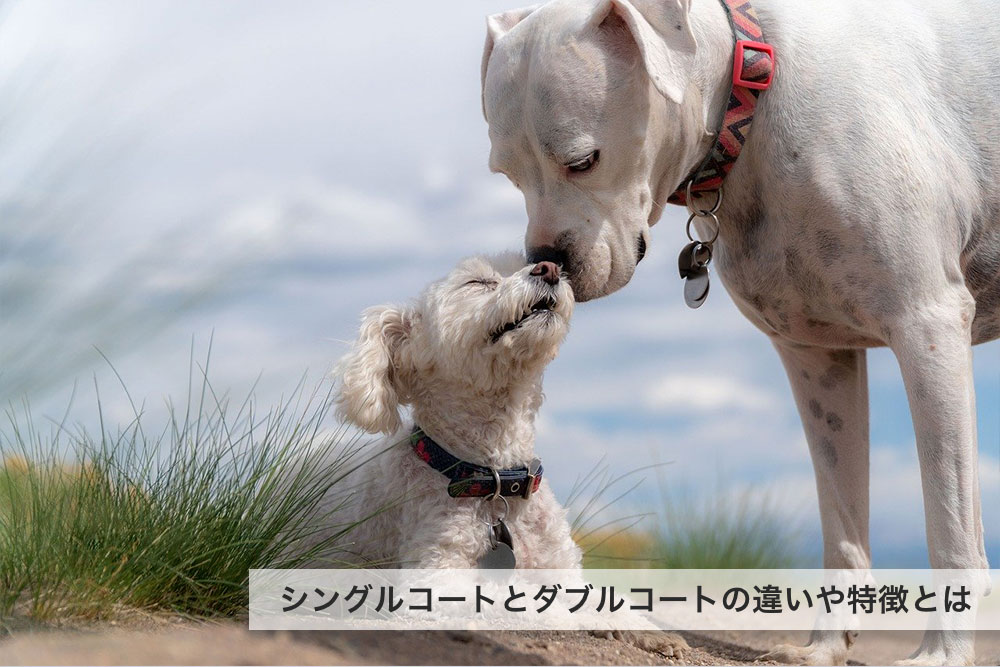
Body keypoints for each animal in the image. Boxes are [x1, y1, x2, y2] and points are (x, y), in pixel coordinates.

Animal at [480, 1, 996, 667]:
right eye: (508, 175)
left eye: (582, 160)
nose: (546, 262)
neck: (752, 93)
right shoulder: (817, 358)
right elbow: (842, 523)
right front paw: (822, 648)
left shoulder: (927, 326)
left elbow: (950, 522)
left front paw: (944, 654)